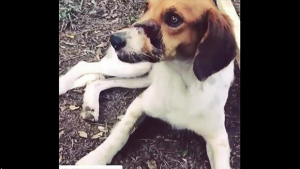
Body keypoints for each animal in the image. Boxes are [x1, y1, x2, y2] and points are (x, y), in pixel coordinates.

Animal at [59, 0, 239, 168]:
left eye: (174, 19)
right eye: (146, 7)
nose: (114, 39)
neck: (183, 81)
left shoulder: (219, 139)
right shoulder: (139, 104)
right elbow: (120, 135)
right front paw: (95, 159)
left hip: (143, 76)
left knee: (98, 82)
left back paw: (90, 106)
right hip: (134, 67)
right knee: (84, 65)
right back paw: (63, 85)